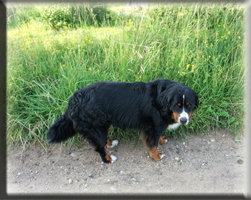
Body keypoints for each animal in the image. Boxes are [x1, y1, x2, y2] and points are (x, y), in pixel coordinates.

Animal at [47, 79, 198, 163]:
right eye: (176, 105)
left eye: (189, 105)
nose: (184, 120)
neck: (161, 100)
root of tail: (74, 99)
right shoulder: (153, 127)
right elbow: (152, 144)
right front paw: (156, 156)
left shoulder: (156, 126)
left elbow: (158, 137)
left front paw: (162, 140)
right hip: (96, 127)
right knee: (99, 147)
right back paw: (108, 159)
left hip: (103, 124)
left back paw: (111, 143)